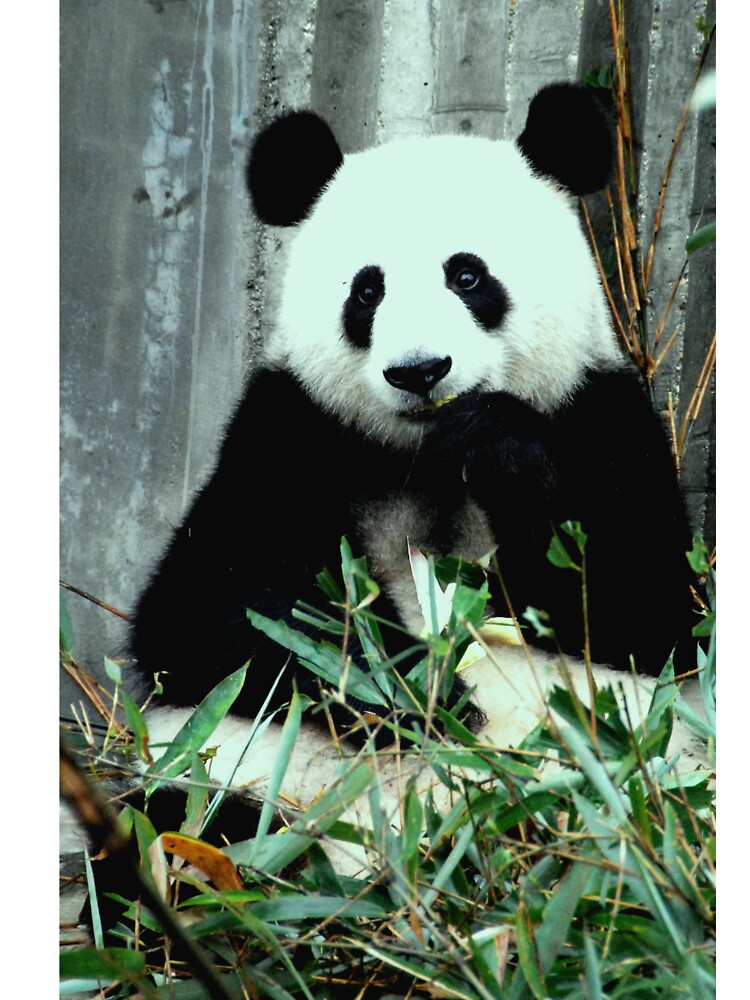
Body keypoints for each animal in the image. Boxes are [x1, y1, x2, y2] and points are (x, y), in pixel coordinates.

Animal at [77, 83, 707, 930]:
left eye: (468, 276)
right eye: (367, 289)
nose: (419, 371)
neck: (420, 453)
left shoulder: (601, 416)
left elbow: (648, 613)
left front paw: (498, 449)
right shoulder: (289, 432)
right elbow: (206, 616)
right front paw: (415, 691)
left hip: (635, 784)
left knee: (633, 843)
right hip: (232, 774)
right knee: (166, 829)